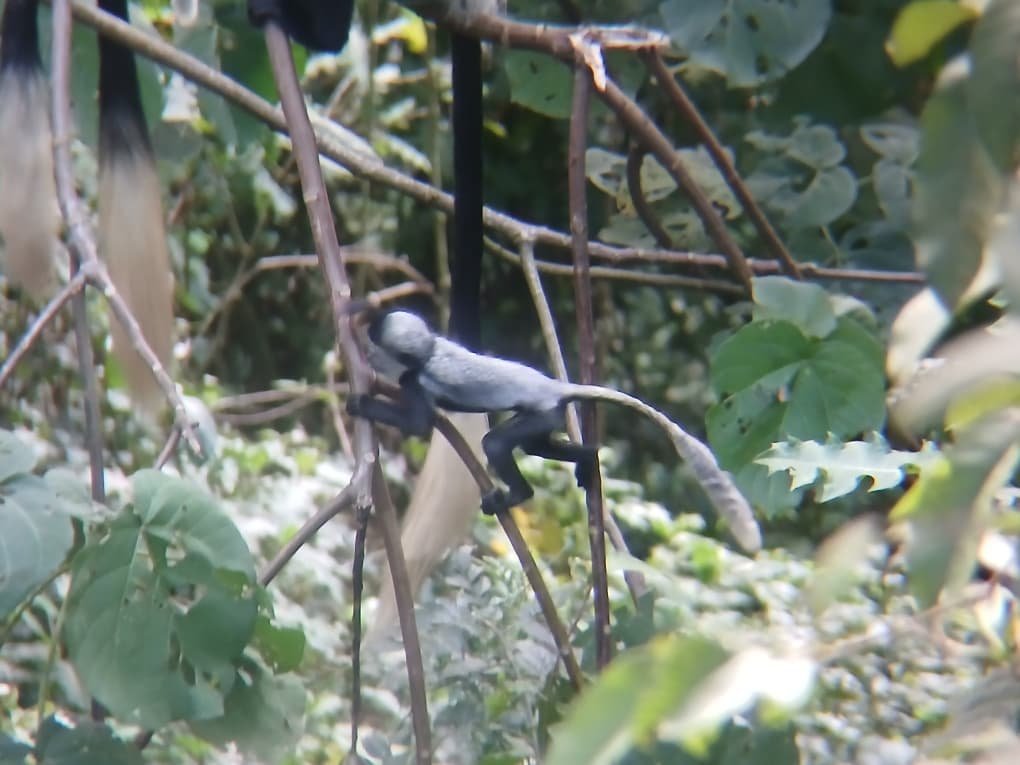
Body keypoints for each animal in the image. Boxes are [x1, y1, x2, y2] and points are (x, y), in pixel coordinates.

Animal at [348, 310, 763, 554]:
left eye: (374, 345)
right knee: (538, 447)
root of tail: (553, 387)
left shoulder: (413, 380)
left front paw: (362, 405)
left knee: (496, 443)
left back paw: (518, 494)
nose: (363, 349)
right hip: (547, 417)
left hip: (541, 412)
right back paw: (587, 459)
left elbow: (419, 424)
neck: (429, 351)